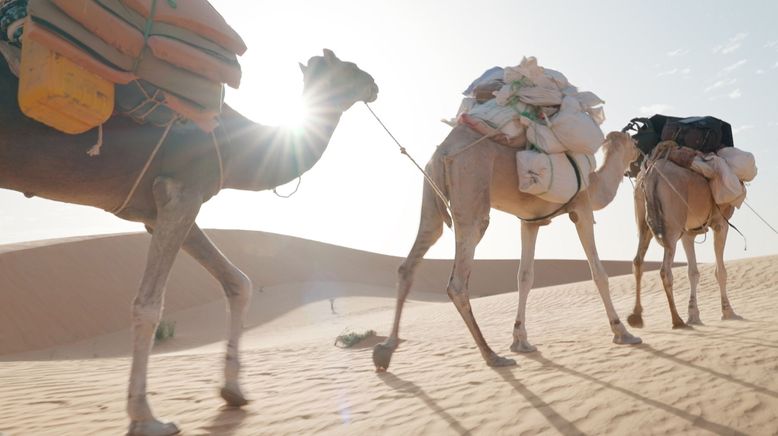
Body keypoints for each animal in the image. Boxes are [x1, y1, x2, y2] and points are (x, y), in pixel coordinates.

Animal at [0, 48, 376, 436]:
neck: (235, 145)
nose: (374, 85)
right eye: (350, 69)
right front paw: (146, 418)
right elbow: (149, 305)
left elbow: (239, 282)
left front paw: (233, 390)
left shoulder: (158, 208)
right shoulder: (181, 190)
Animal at [372, 129, 640, 372]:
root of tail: (445, 152)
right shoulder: (581, 208)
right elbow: (598, 273)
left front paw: (521, 341)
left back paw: (385, 350)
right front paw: (623, 332)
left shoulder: (530, 222)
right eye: (633, 141)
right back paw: (492, 355)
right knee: (457, 282)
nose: (638, 154)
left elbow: (525, 277)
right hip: (472, 195)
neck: (594, 184)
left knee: (411, 260)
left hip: (431, 196)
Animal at [624, 155, 740, 328]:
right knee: (665, 270)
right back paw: (677, 320)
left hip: (643, 218)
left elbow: (693, 272)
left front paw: (693, 315)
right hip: (672, 225)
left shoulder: (688, 231)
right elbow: (720, 272)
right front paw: (728, 312)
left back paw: (636, 316)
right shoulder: (721, 223)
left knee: (638, 261)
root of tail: (652, 173)